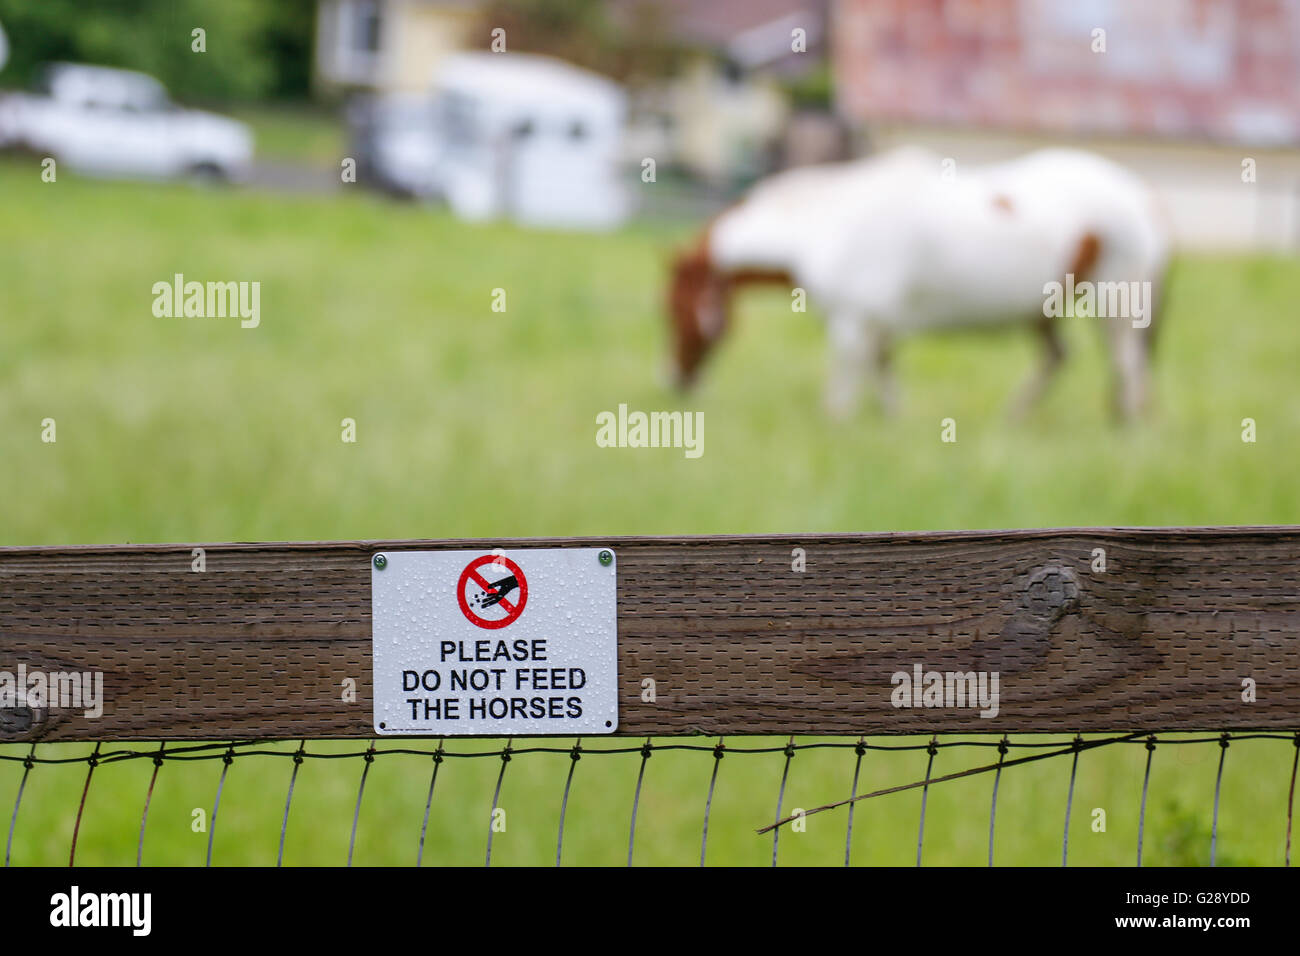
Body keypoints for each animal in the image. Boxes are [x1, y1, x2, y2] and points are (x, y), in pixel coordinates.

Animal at [670, 145, 1170, 418]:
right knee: (1060, 358)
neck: (825, 222)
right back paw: (1014, 418)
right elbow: (884, 376)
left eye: (671, 308)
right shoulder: (877, 324)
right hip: (1045, 309)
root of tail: (1142, 194)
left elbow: (842, 393)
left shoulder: (852, 323)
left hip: (1114, 301)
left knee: (1127, 367)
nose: (673, 381)